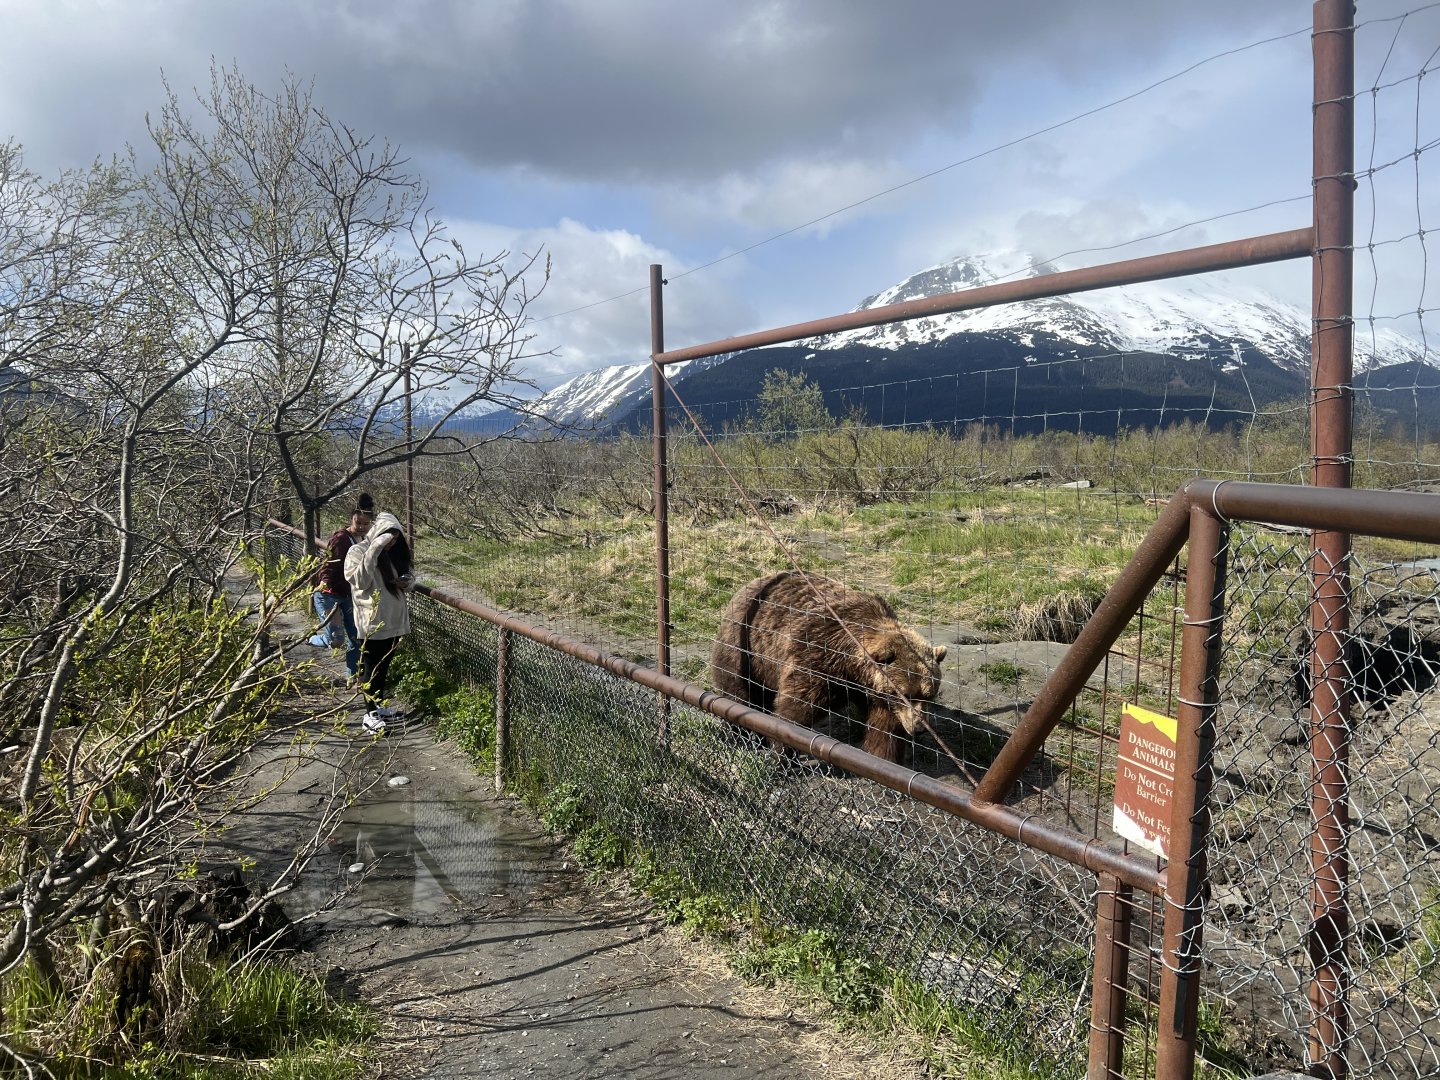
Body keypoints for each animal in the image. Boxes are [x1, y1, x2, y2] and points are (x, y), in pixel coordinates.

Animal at [710, 570, 947, 764]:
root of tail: (750, 582)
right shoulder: (818, 655)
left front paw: (886, 758)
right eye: (906, 694)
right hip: (746, 648)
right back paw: (740, 731)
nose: (918, 728)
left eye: (929, 695)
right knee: (738, 690)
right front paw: (782, 752)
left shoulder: (874, 691)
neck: (852, 665)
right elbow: (797, 707)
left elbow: (885, 728)